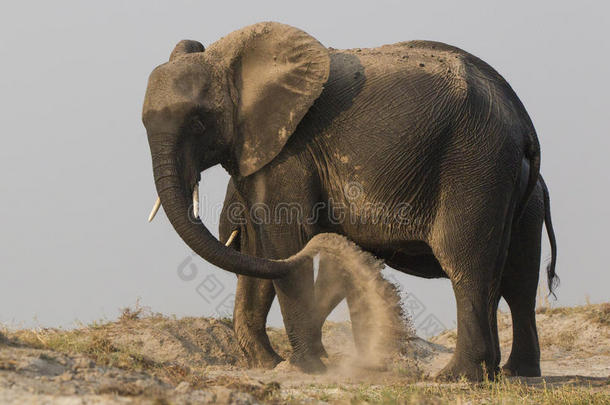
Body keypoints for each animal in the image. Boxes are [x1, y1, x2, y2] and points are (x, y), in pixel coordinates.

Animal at [142, 20, 556, 380]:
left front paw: (306, 368)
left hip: (475, 164)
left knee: (467, 266)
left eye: (198, 123)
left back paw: (458, 377)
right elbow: (263, 250)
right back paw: (508, 373)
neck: (227, 58)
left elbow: (285, 243)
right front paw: (272, 365)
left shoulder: (292, 150)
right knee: (513, 282)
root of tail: (524, 122)